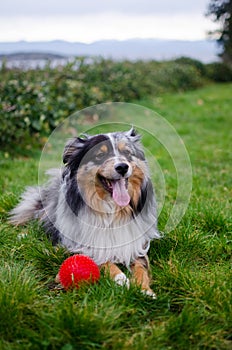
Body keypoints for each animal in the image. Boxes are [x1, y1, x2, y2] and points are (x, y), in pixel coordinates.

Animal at [10, 127, 160, 296]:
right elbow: (101, 260)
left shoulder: (136, 242)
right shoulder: (77, 245)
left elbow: (141, 266)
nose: (122, 167)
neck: (112, 210)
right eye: (100, 155)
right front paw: (121, 279)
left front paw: (144, 289)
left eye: (127, 153)